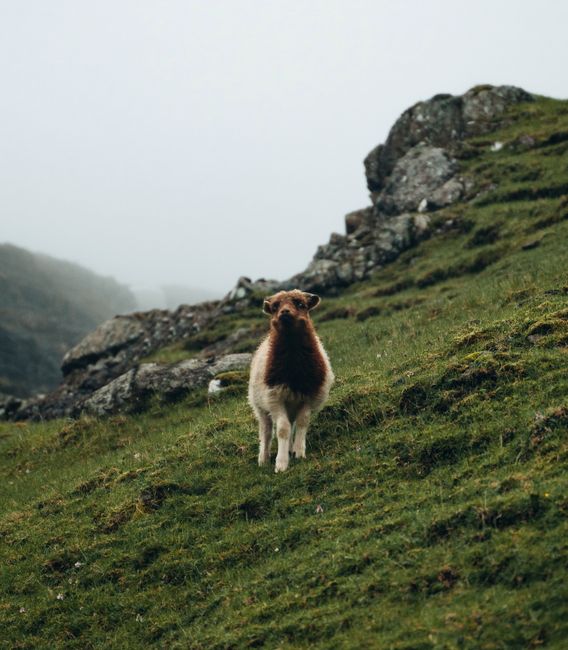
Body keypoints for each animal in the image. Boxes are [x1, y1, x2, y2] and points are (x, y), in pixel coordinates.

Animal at [248, 289, 334, 472]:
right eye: (275, 307)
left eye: (301, 304)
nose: (284, 312)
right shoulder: (274, 398)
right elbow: (282, 429)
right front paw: (281, 463)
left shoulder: (309, 396)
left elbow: (302, 423)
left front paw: (299, 452)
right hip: (260, 406)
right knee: (266, 431)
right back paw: (263, 458)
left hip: (291, 405)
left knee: (292, 423)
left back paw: (290, 448)